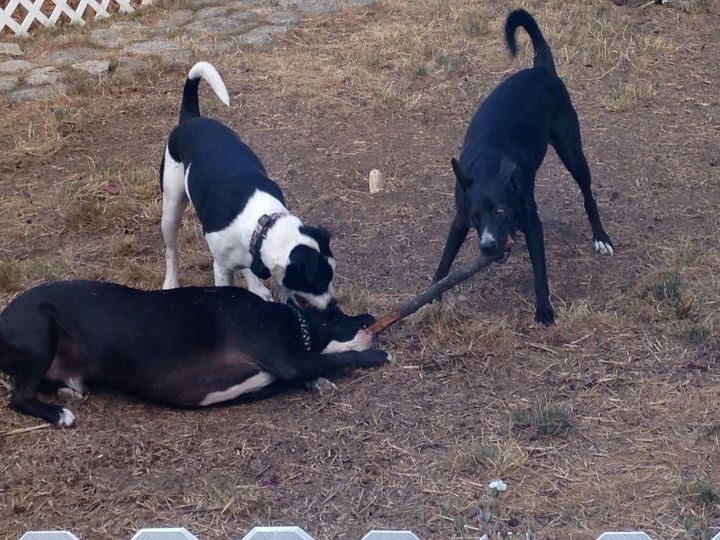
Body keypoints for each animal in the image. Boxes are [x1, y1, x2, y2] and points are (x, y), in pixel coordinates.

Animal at [0, 280, 388, 428]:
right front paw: (374, 357)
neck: (290, 321)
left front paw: (318, 382)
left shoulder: (275, 373)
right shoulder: (287, 360)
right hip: (40, 331)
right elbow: (333, 357)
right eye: (339, 317)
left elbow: (312, 369)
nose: (370, 319)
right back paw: (60, 414)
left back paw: (69, 392)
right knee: (18, 396)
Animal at [160, 61, 334, 310]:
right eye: (318, 283)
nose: (333, 305)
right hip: (171, 210)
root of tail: (190, 119)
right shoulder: (222, 268)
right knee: (171, 251)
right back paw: (171, 282)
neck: (260, 222)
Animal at [434, 8, 612, 324]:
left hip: (572, 151)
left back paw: (600, 237)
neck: (488, 167)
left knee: (588, 195)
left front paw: (544, 310)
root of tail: (541, 69)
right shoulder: (459, 220)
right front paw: (432, 296)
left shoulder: (531, 223)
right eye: (476, 217)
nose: (488, 246)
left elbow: (540, 273)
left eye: (500, 211)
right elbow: (445, 262)